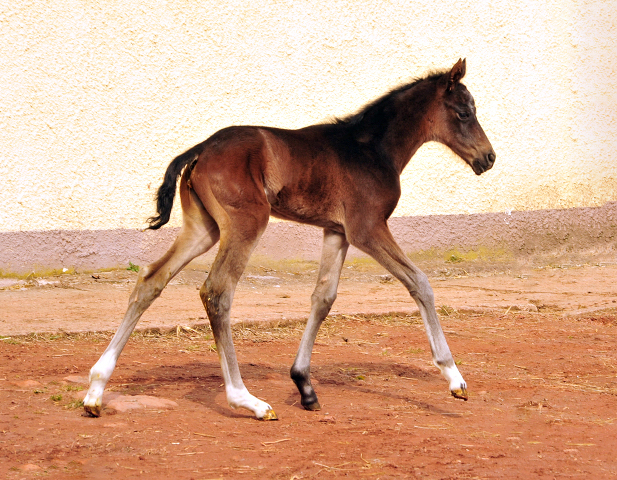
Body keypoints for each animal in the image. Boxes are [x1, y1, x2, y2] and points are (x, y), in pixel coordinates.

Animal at [83, 60, 496, 420]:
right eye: (464, 112)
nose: (488, 157)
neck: (370, 149)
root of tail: (201, 149)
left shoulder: (337, 232)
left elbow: (323, 298)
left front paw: (304, 386)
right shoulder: (367, 229)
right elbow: (420, 282)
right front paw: (453, 377)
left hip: (204, 229)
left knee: (151, 279)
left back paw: (95, 390)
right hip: (247, 222)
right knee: (218, 291)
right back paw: (246, 400)